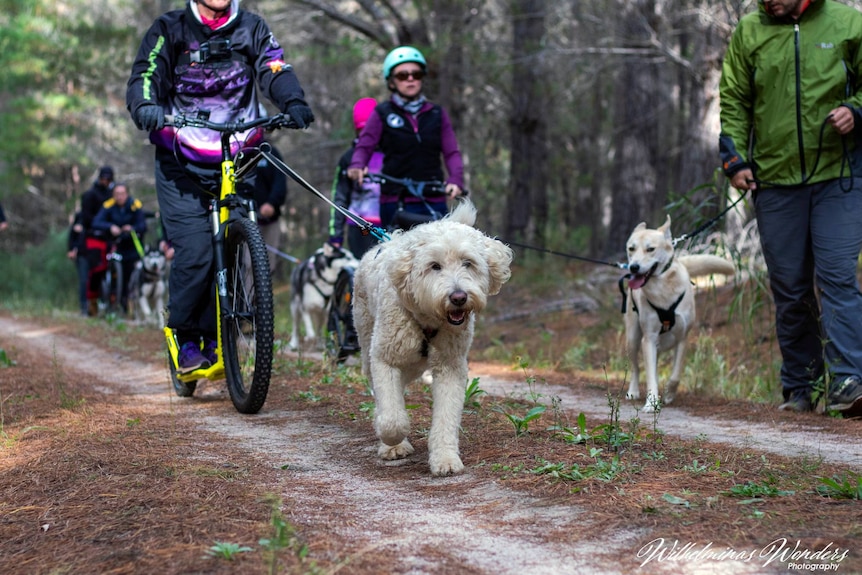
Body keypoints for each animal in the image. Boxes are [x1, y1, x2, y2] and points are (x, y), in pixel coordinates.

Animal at [356, 201, 516, 476]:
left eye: (467, 263)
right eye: (434, 266)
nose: (458, 297)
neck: (429, 319)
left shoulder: (451, 367)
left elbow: (446, 418)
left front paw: (445, 459)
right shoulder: (384, 359)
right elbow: (391, 418)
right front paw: (394, 440)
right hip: (368, 343)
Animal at [624, 214, 740, 412]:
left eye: (650, 249)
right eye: (631, 248)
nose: (633, 267)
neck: (662, 289)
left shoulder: (683, 338)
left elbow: (675, 375)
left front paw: (669, 394)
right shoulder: (649, 338)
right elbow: (650, 374)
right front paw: (651, 402)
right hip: (633, 337)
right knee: (636, 367)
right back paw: (633, 391)